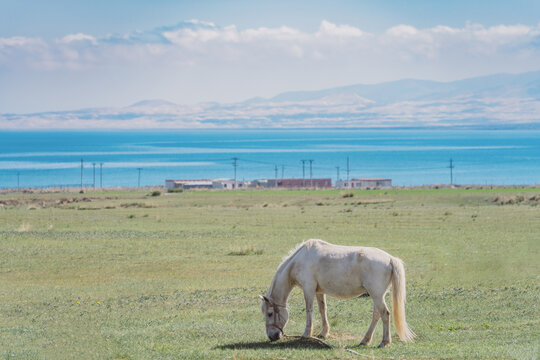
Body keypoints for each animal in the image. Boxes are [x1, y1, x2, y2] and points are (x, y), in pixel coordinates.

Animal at [260, 240, 416, 348]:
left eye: (270, 314)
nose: (272, 336)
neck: (299, 260)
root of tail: (390, 259)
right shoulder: (319, 291)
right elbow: (322, 310)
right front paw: (323, 333)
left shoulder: (308, 288)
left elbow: (309, 310)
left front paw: (306, 334)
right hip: (377, 296)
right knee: (377, 315)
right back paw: (365, 340)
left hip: (376, 296)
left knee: (385, 315)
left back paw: (384, 342)